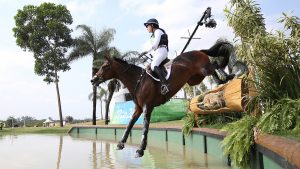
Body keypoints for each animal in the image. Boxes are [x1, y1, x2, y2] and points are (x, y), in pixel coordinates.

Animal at [91, 41, 230, 158]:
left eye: (105, 66)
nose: (93, 80)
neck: (138, 80)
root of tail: (198, 51)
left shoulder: (147, 107)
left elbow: (145, 126)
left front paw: (140, 149)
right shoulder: (138, 108)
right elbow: (130, 124)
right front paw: (121, 143)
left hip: (203, 70)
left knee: (214, 65)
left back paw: (226, 77)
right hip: (195, 78)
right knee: (214, 67)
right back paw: (223, 79)